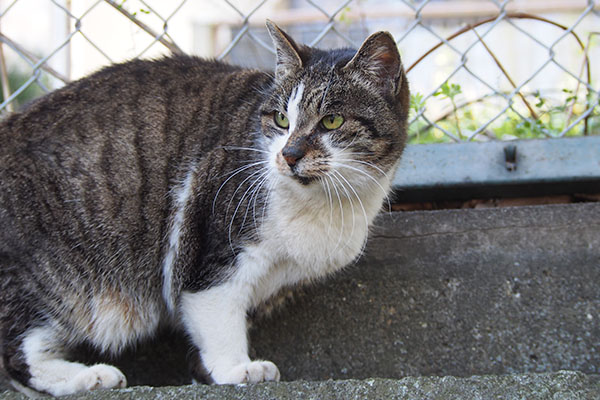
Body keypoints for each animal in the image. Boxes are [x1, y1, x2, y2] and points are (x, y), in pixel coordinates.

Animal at [0, 20, 408, 396]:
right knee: (17, 354)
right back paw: (88, 377)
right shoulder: (209, 248)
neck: (327, 203)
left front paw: (206, 371)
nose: (289, 154)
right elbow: (216, 315)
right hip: (49, 278)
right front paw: (235, 369)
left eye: (332, 120)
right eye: (281, 119)